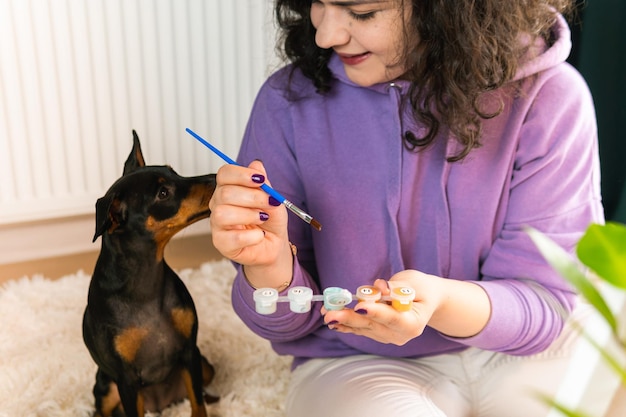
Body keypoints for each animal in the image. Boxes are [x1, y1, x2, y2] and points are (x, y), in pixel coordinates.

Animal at [82, 131, 219, 416]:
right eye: (163, 193)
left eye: (174, 172)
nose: (216, 177)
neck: (144, 281)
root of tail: (162, 403)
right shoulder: (126, 380)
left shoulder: (189, 351)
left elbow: (198, 405)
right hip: (106, 386)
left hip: (204, 367)